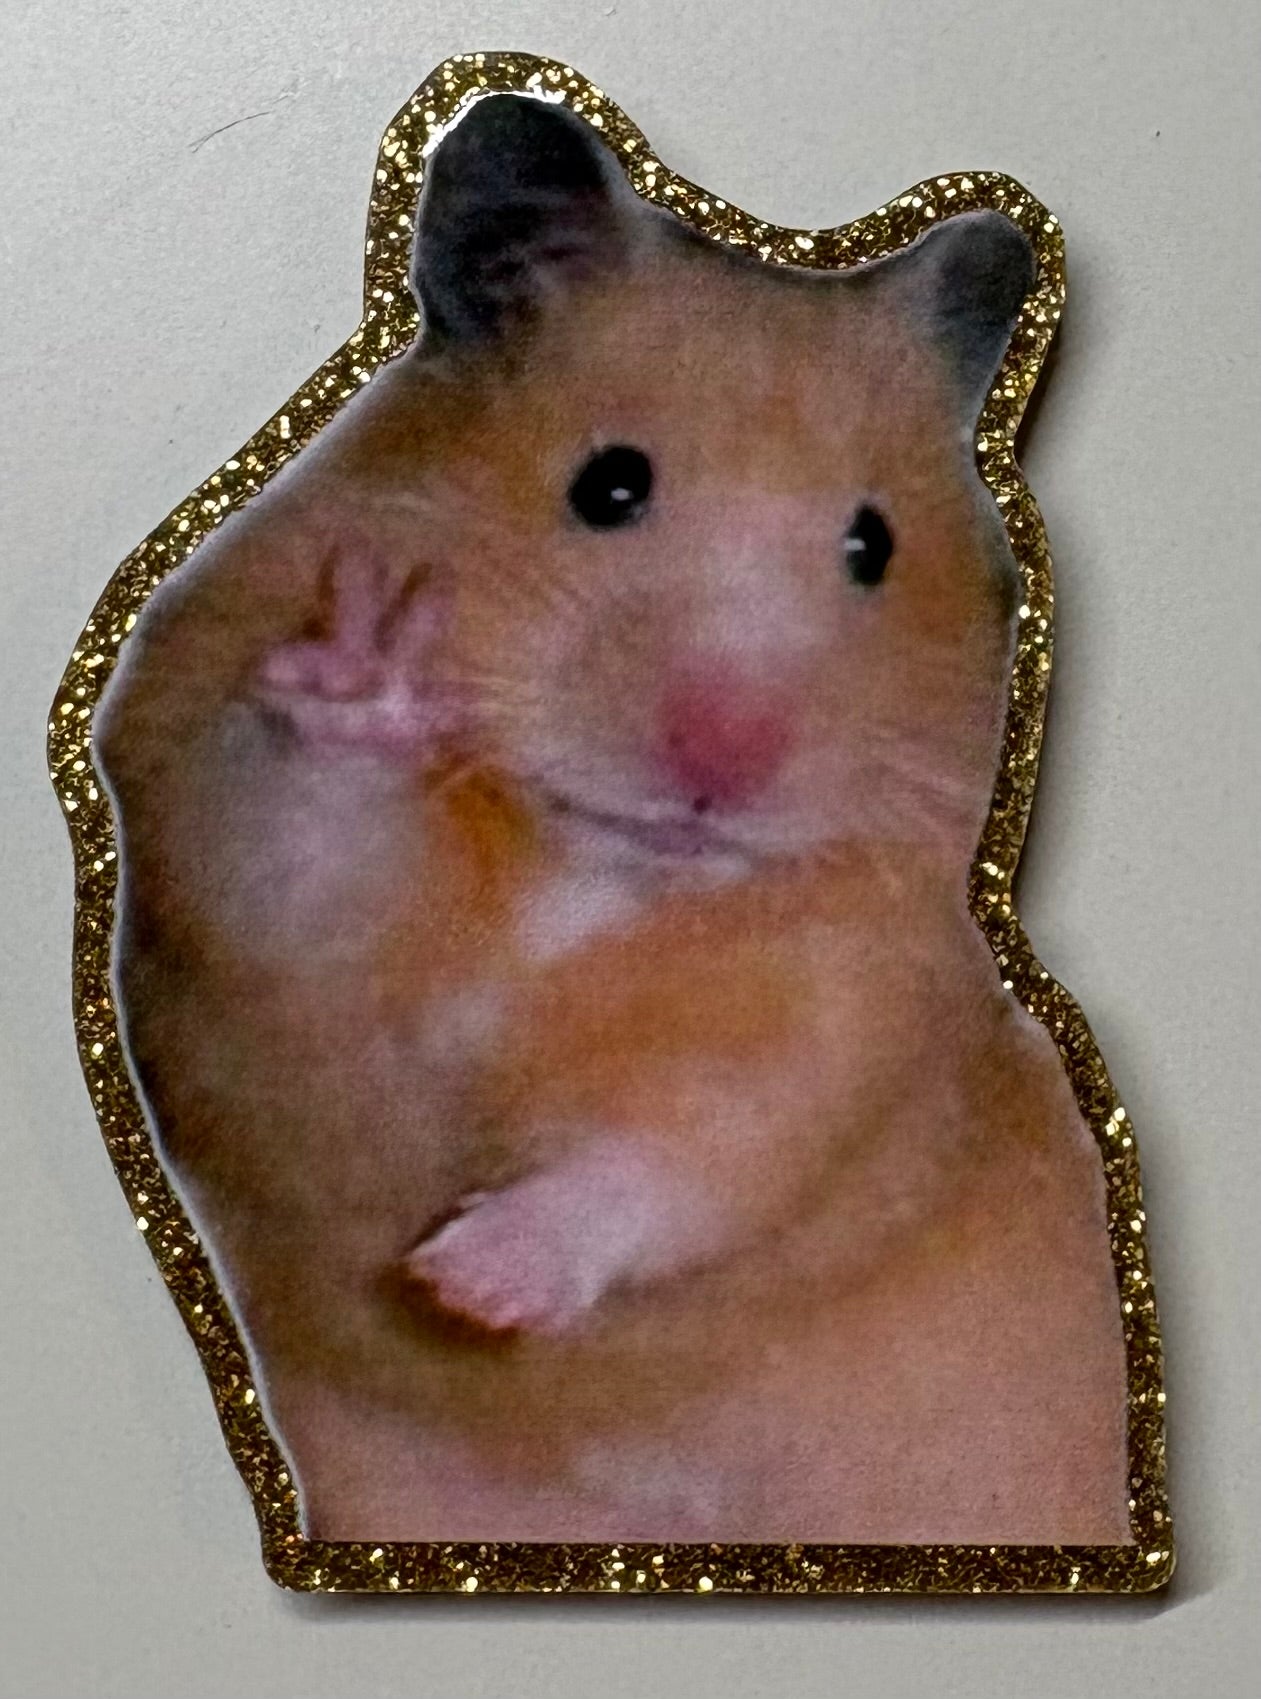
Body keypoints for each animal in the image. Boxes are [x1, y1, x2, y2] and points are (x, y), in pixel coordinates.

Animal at [93, 94, 1130, 1543]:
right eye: (610, 486)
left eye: (873, 547)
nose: (724, 760)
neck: (596, 870)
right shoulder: (219, 853)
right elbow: (303, 846)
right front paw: (372, 666)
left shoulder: (844, 1014)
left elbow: (680, 1151)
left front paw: (469, 1282)